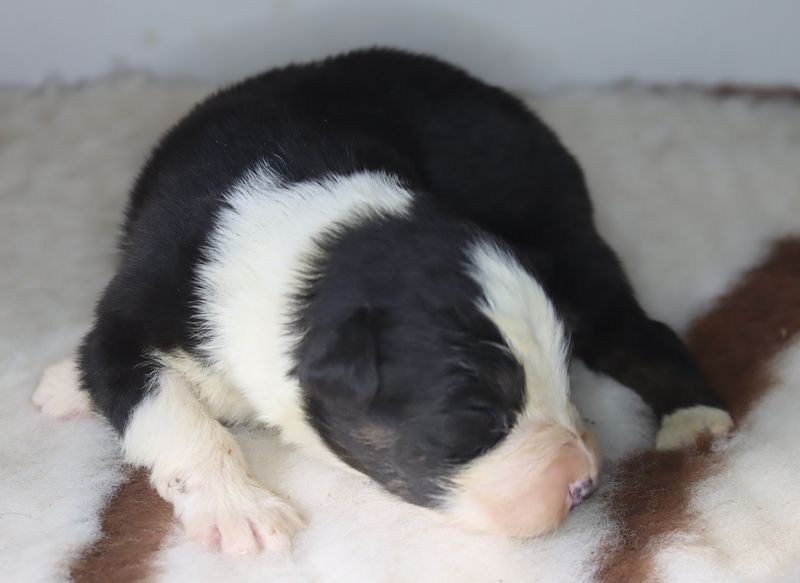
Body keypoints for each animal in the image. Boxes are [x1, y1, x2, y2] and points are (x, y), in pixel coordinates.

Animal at [32, 48, 732, 556]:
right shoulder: (129, 318)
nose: (585, 486)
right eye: (480, 418)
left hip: (561, 233)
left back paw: (693, 419)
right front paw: (243, 511)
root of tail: (510, 105)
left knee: (638, 332)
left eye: (562, 382)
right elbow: (171, 412)